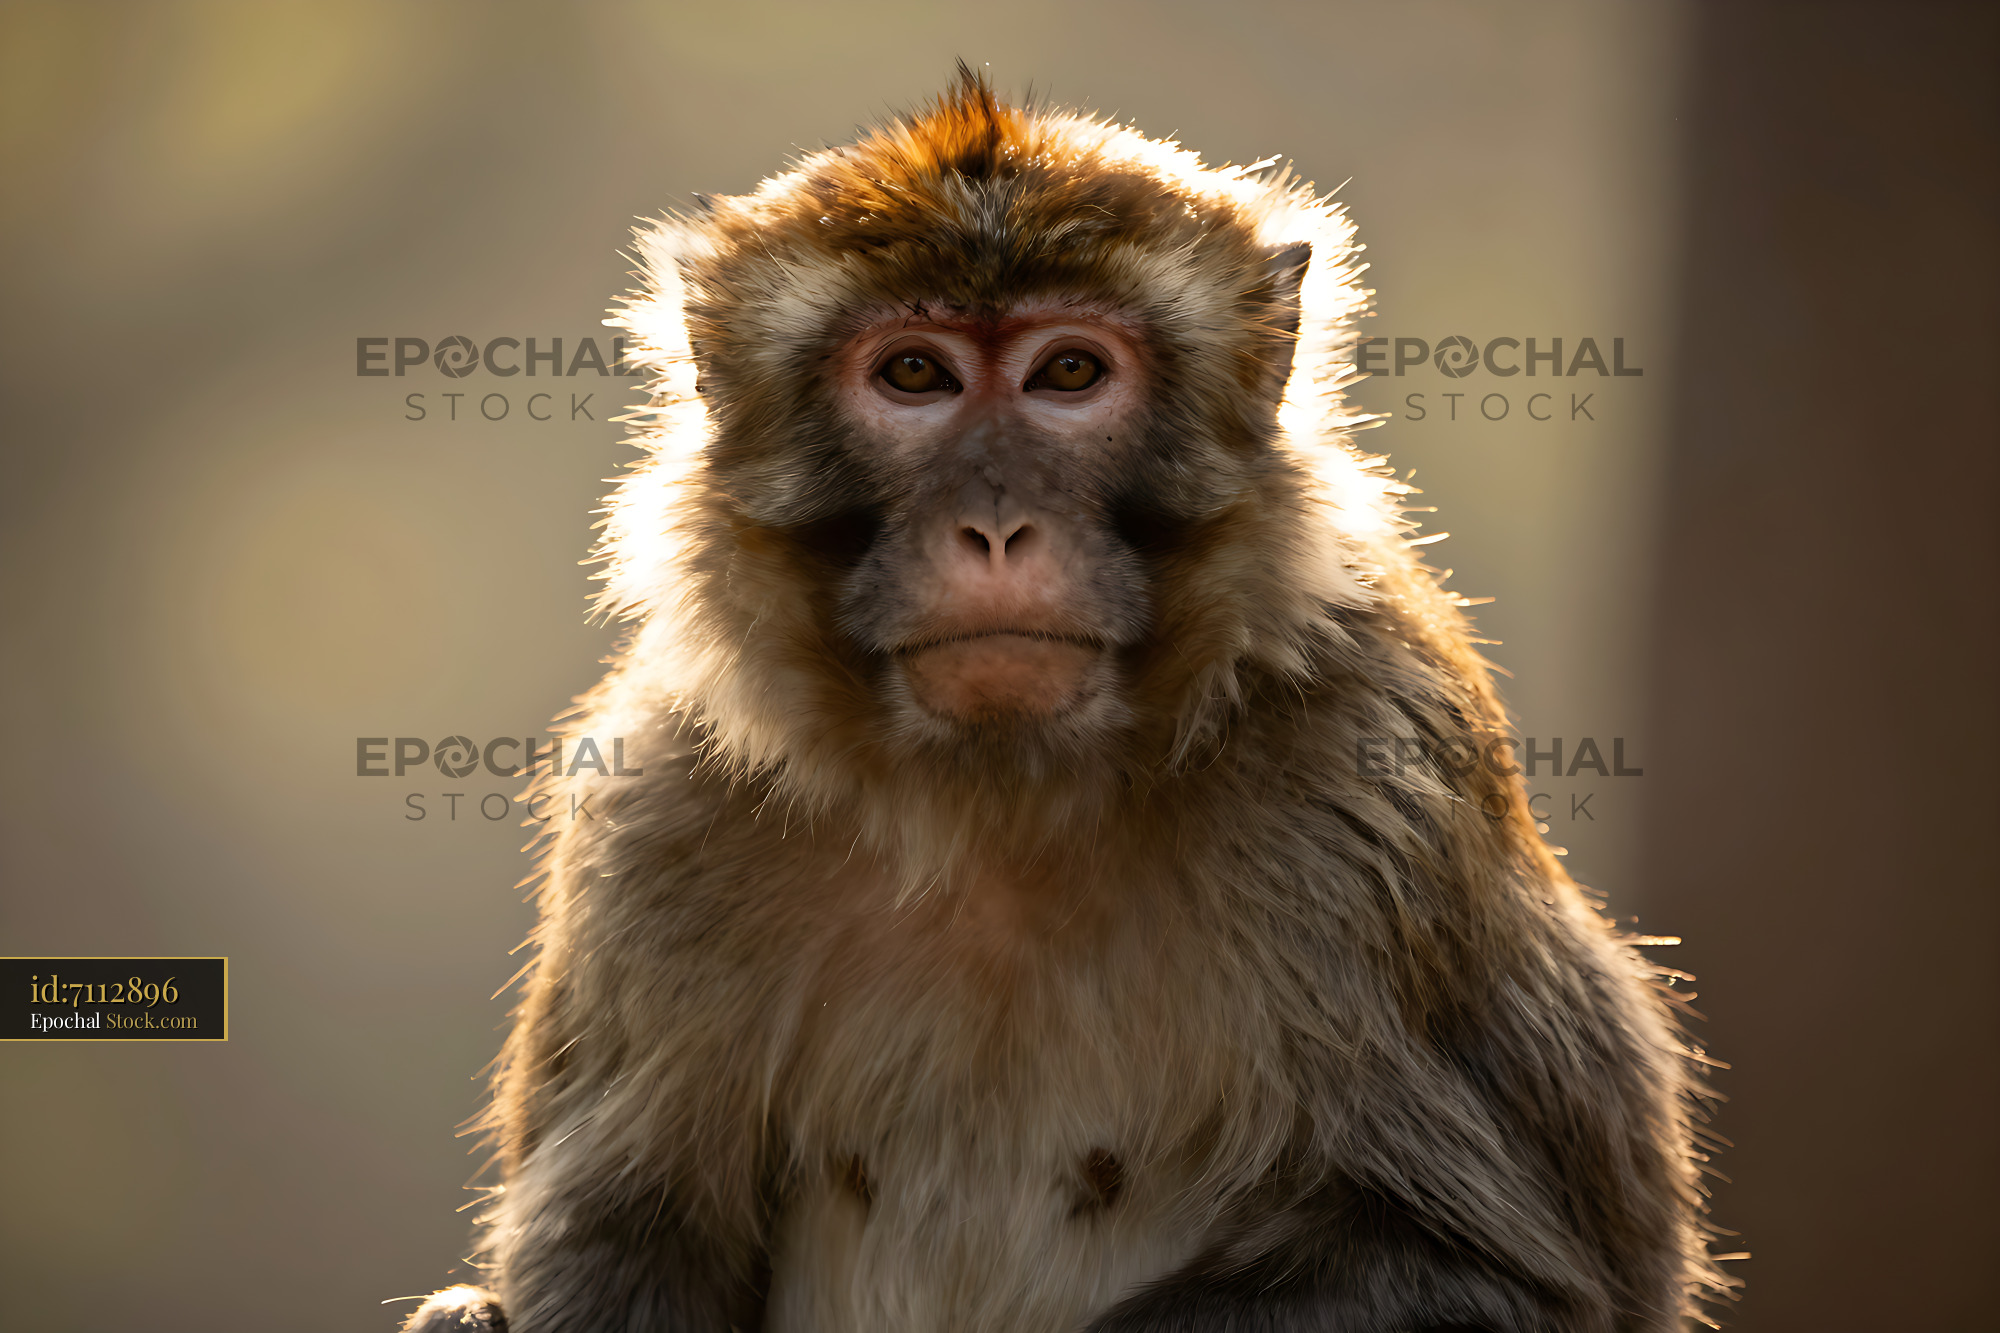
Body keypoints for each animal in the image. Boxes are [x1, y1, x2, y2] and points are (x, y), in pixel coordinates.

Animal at [403, 69, 1729, 1333]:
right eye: (915, 374)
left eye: (1069, 373)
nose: (994, 526)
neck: (998, 795)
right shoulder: (657, 819)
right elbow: (622, 1251)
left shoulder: (1368, 799)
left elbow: (1490, 1272)